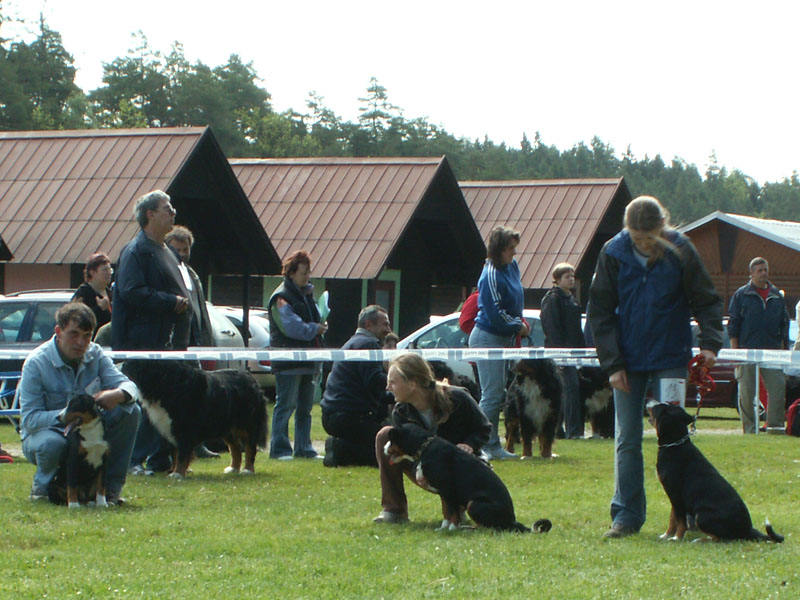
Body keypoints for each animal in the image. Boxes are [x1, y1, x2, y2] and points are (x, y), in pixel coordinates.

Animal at [120, 358, 268, 480]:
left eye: (129, 365)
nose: (120, 367)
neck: (166, 383)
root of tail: (250, 377)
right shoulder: (170, 427)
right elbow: (175, 453)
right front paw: (174, 470)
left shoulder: (184, 428)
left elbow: (182, 454)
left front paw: (178, 474)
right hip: (226, 426)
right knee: (236, 447)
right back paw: (233, 469)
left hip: (247, 424)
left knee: (250, 447)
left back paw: (247, 470)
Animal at [382, 424, 552, 532]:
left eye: (391, 440)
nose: (383, 448)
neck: (424, 447)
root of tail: (513, 520)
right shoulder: (443, 493)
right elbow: (446, 511)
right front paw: (443, 528)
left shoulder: (448, 490)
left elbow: (452, 513)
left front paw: (451, 529)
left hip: (473, 504)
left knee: (491, 528)